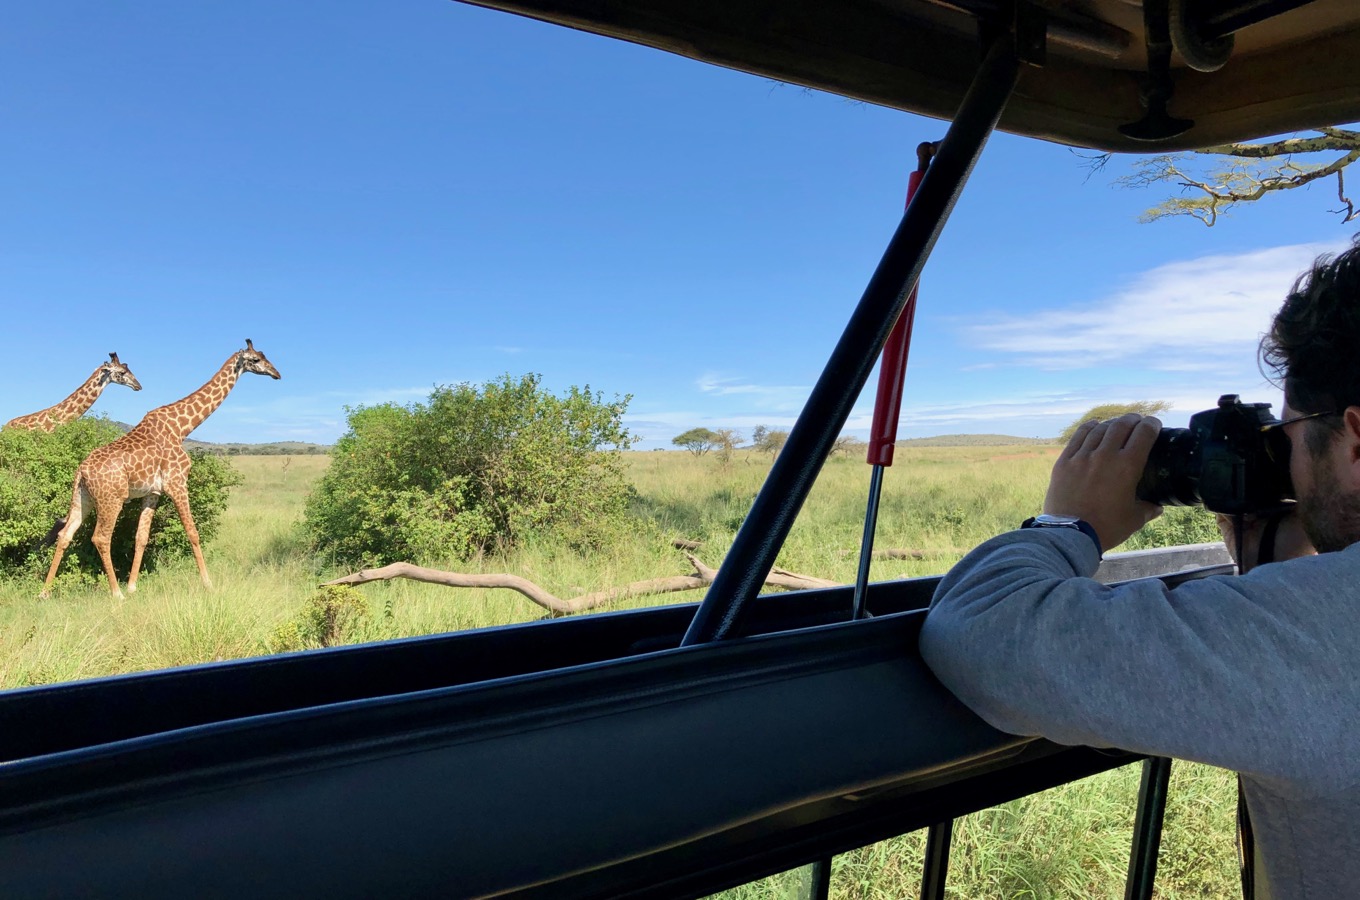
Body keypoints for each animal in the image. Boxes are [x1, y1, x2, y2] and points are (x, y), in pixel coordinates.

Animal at [39, 338, 280, 598]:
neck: (182, 427)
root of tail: (81, 471)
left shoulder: (152, 492)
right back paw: (116, 594)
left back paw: (45, 592)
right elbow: (192, 532)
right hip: (111, 500)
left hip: (82, 498)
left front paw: (133, 586)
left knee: (65, 534)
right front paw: (208, 583)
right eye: (256, 359)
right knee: (101, 538)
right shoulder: (177, 482)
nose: (277, 374)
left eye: (264, 355)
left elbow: (141, 537)